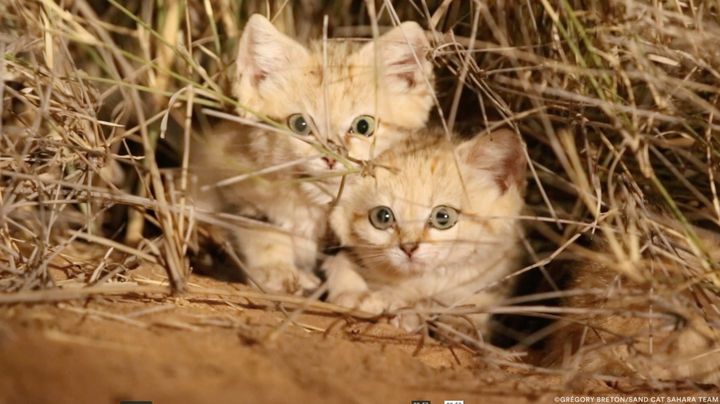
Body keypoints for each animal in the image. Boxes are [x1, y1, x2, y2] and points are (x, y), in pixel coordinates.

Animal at [191, 15, 436, 294]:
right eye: (300, 125)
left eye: (363, 126)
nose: (331, 157)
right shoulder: (232, 185)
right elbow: (262, 231)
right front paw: (276, 270)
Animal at [324, 129, 524, 334]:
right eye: (382, 216)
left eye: (443, 217)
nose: (409, 247)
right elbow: (340, 265)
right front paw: (380, 304)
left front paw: (461, 324)